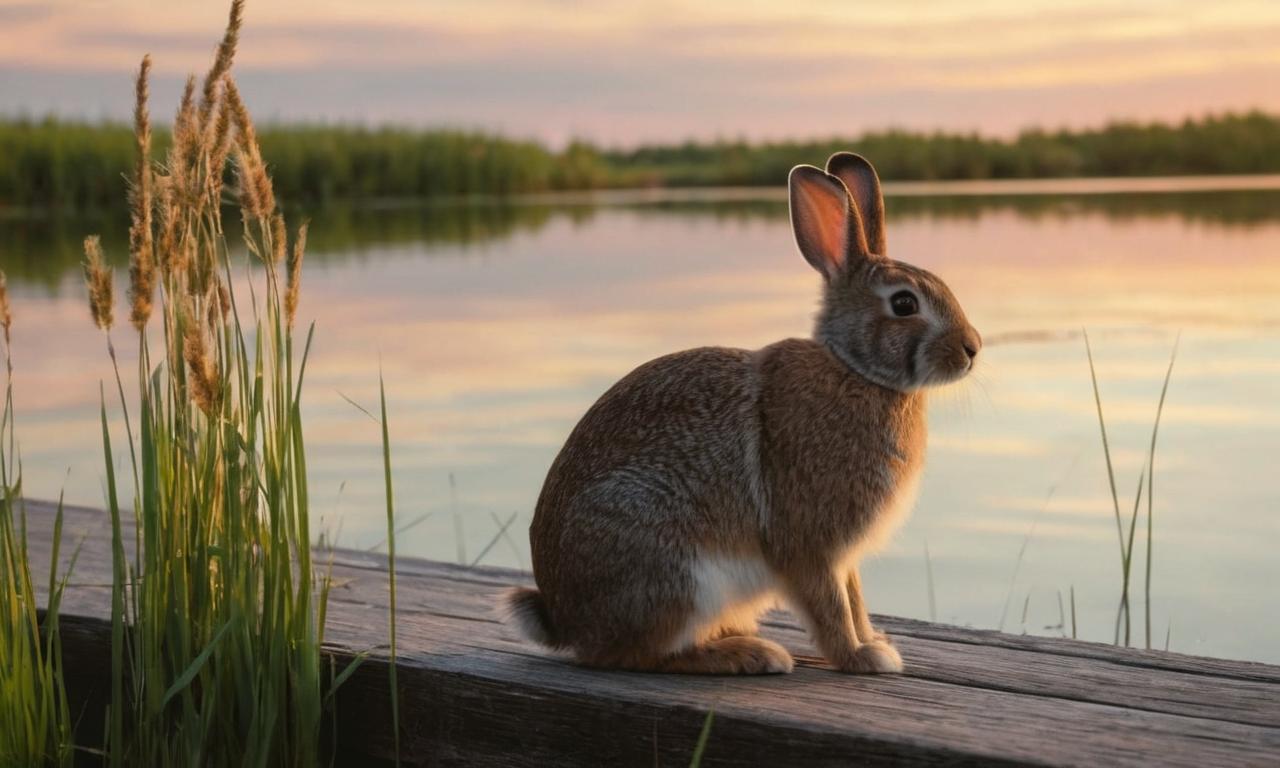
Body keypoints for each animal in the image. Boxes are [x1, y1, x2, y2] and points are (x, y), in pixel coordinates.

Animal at [499, 152, 977, 675]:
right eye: (904, 303)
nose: (972, 349)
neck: (856, 370)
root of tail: (563, 620)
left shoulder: (844, 558)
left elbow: (854, 599)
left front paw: (874, 642)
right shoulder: (808, 545)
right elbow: (829, 606)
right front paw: (863, 658)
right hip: (675, 567)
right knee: (637, 655)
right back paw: (750, 654)